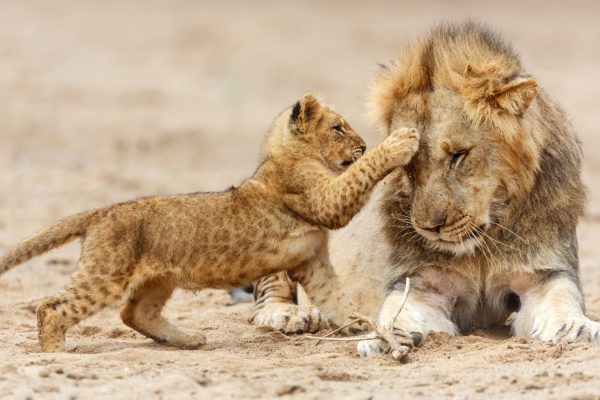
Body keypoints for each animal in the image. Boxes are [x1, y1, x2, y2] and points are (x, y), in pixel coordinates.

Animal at [251, 22, 596, 354]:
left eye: (458, 155)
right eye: (408, 165)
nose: (430, 228)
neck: (483, 244)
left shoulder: (544, 273)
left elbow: (561, 299)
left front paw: (574, 328)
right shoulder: (419, 283)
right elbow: (396, 311)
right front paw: (384, 337)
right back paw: (292, 315)